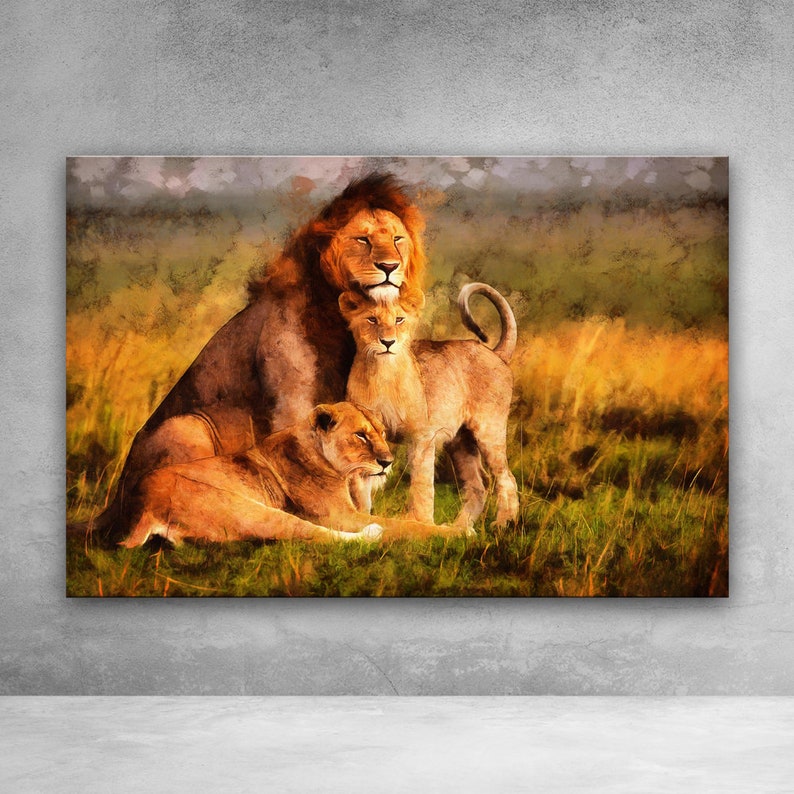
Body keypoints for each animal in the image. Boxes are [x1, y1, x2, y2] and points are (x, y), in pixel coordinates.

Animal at [86, 173, 428, 542]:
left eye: (397, 239)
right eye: (362, 239)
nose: (390, 267)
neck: (335, 315)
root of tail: (114, 504)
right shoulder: (292, 401)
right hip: (187, 426)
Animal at [120, 402, 470, 547]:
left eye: (382, 433)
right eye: (360, 435)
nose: (387, 461)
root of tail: (140, 505)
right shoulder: (341, 516)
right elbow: (406, 526)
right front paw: (456, 532)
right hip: (247, 509)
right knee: (316, 535)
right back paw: (371, 534)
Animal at [340, 282, 520, 529]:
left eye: (399, 320)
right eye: (372, 319)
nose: (387, 343)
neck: (381, 373)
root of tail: (494, 353)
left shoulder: (422, 437)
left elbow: (422, 485)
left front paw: (421, 523)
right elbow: (359, 487)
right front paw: (361, 521)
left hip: (489, 431)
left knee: (506, 477)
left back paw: (502, 523)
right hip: (460, 442)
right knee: (478, 484)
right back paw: (459, 529)